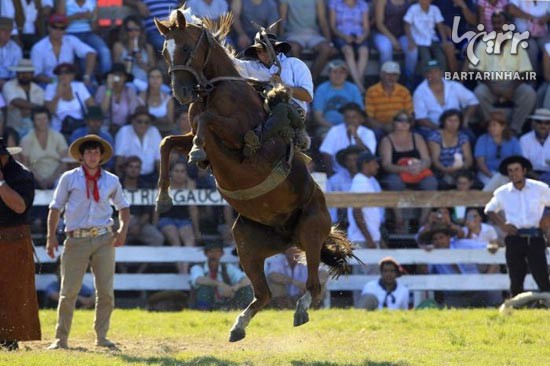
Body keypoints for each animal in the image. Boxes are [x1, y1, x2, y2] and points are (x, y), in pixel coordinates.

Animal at [154, 7, 358, 342]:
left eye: (184, 47)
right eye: (164, 52)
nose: (181, 93)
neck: (218, 91)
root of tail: (287, 235)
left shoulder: (239, 138)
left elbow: (206, 123)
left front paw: (196, 152)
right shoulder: (192, 134)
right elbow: (168, 141)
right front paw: (163, 198)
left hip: (310, 232)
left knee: (313, 286)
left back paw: (300, 310)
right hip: (247, 245)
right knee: (264, 294)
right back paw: (238, 326)